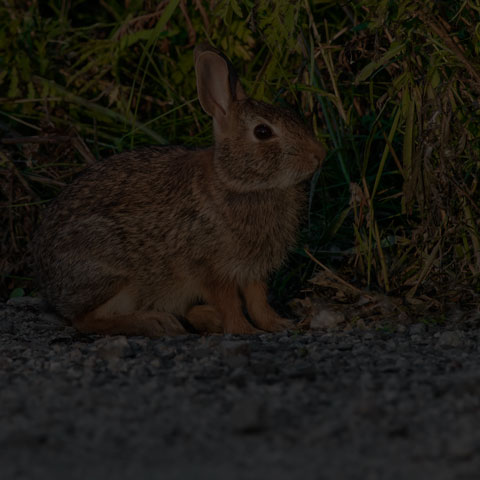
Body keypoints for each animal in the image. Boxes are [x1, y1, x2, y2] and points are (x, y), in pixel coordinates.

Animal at [31, 44, 326, 338]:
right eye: (263, 132)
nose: (318, 155)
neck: (236, 181)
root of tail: (50, 288)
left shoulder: (251, 271)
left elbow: (258, 301)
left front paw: (278, 325)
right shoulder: (209, 269)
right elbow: (229, 303)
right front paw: (244, 331)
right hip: (111, 273)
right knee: (85, 320)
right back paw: (156, 322)